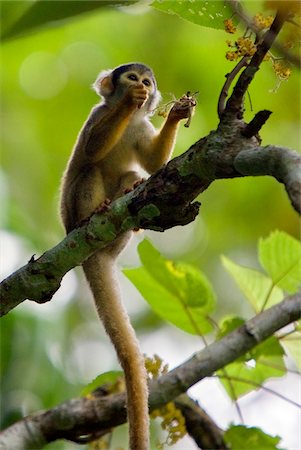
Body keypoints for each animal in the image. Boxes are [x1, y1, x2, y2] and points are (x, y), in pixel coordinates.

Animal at [59, 63, 195, 450]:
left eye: (148, 81)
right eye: (132, 78)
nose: (142, 88)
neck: (132, 121)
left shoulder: (143, 127)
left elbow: (152, 162)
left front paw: (177, 113)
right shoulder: (96, 115)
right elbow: (92, 147)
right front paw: (125, 103)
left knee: (133, 172)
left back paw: (130, 195)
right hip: (71, 215)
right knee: (89, 170)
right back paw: (92, 214)